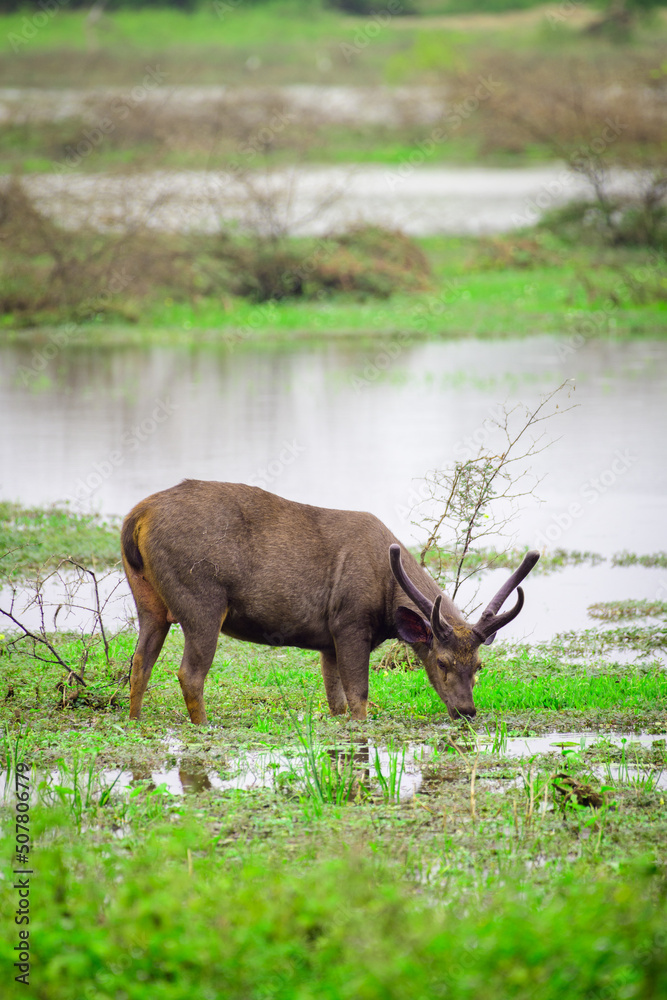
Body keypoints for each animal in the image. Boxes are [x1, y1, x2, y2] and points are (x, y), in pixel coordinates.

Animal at [121, 479, 539, 725]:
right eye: (441, 661)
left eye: (480, 664)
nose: (467, 711)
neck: (386, 601)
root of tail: (136, 517)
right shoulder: (350, 622)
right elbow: (359, 698)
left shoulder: (327, 640)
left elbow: (335, 701)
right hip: (201, 599)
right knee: (189, 673)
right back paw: (203, 725)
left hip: (149, 600)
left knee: (140, 661)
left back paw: (135, 720)